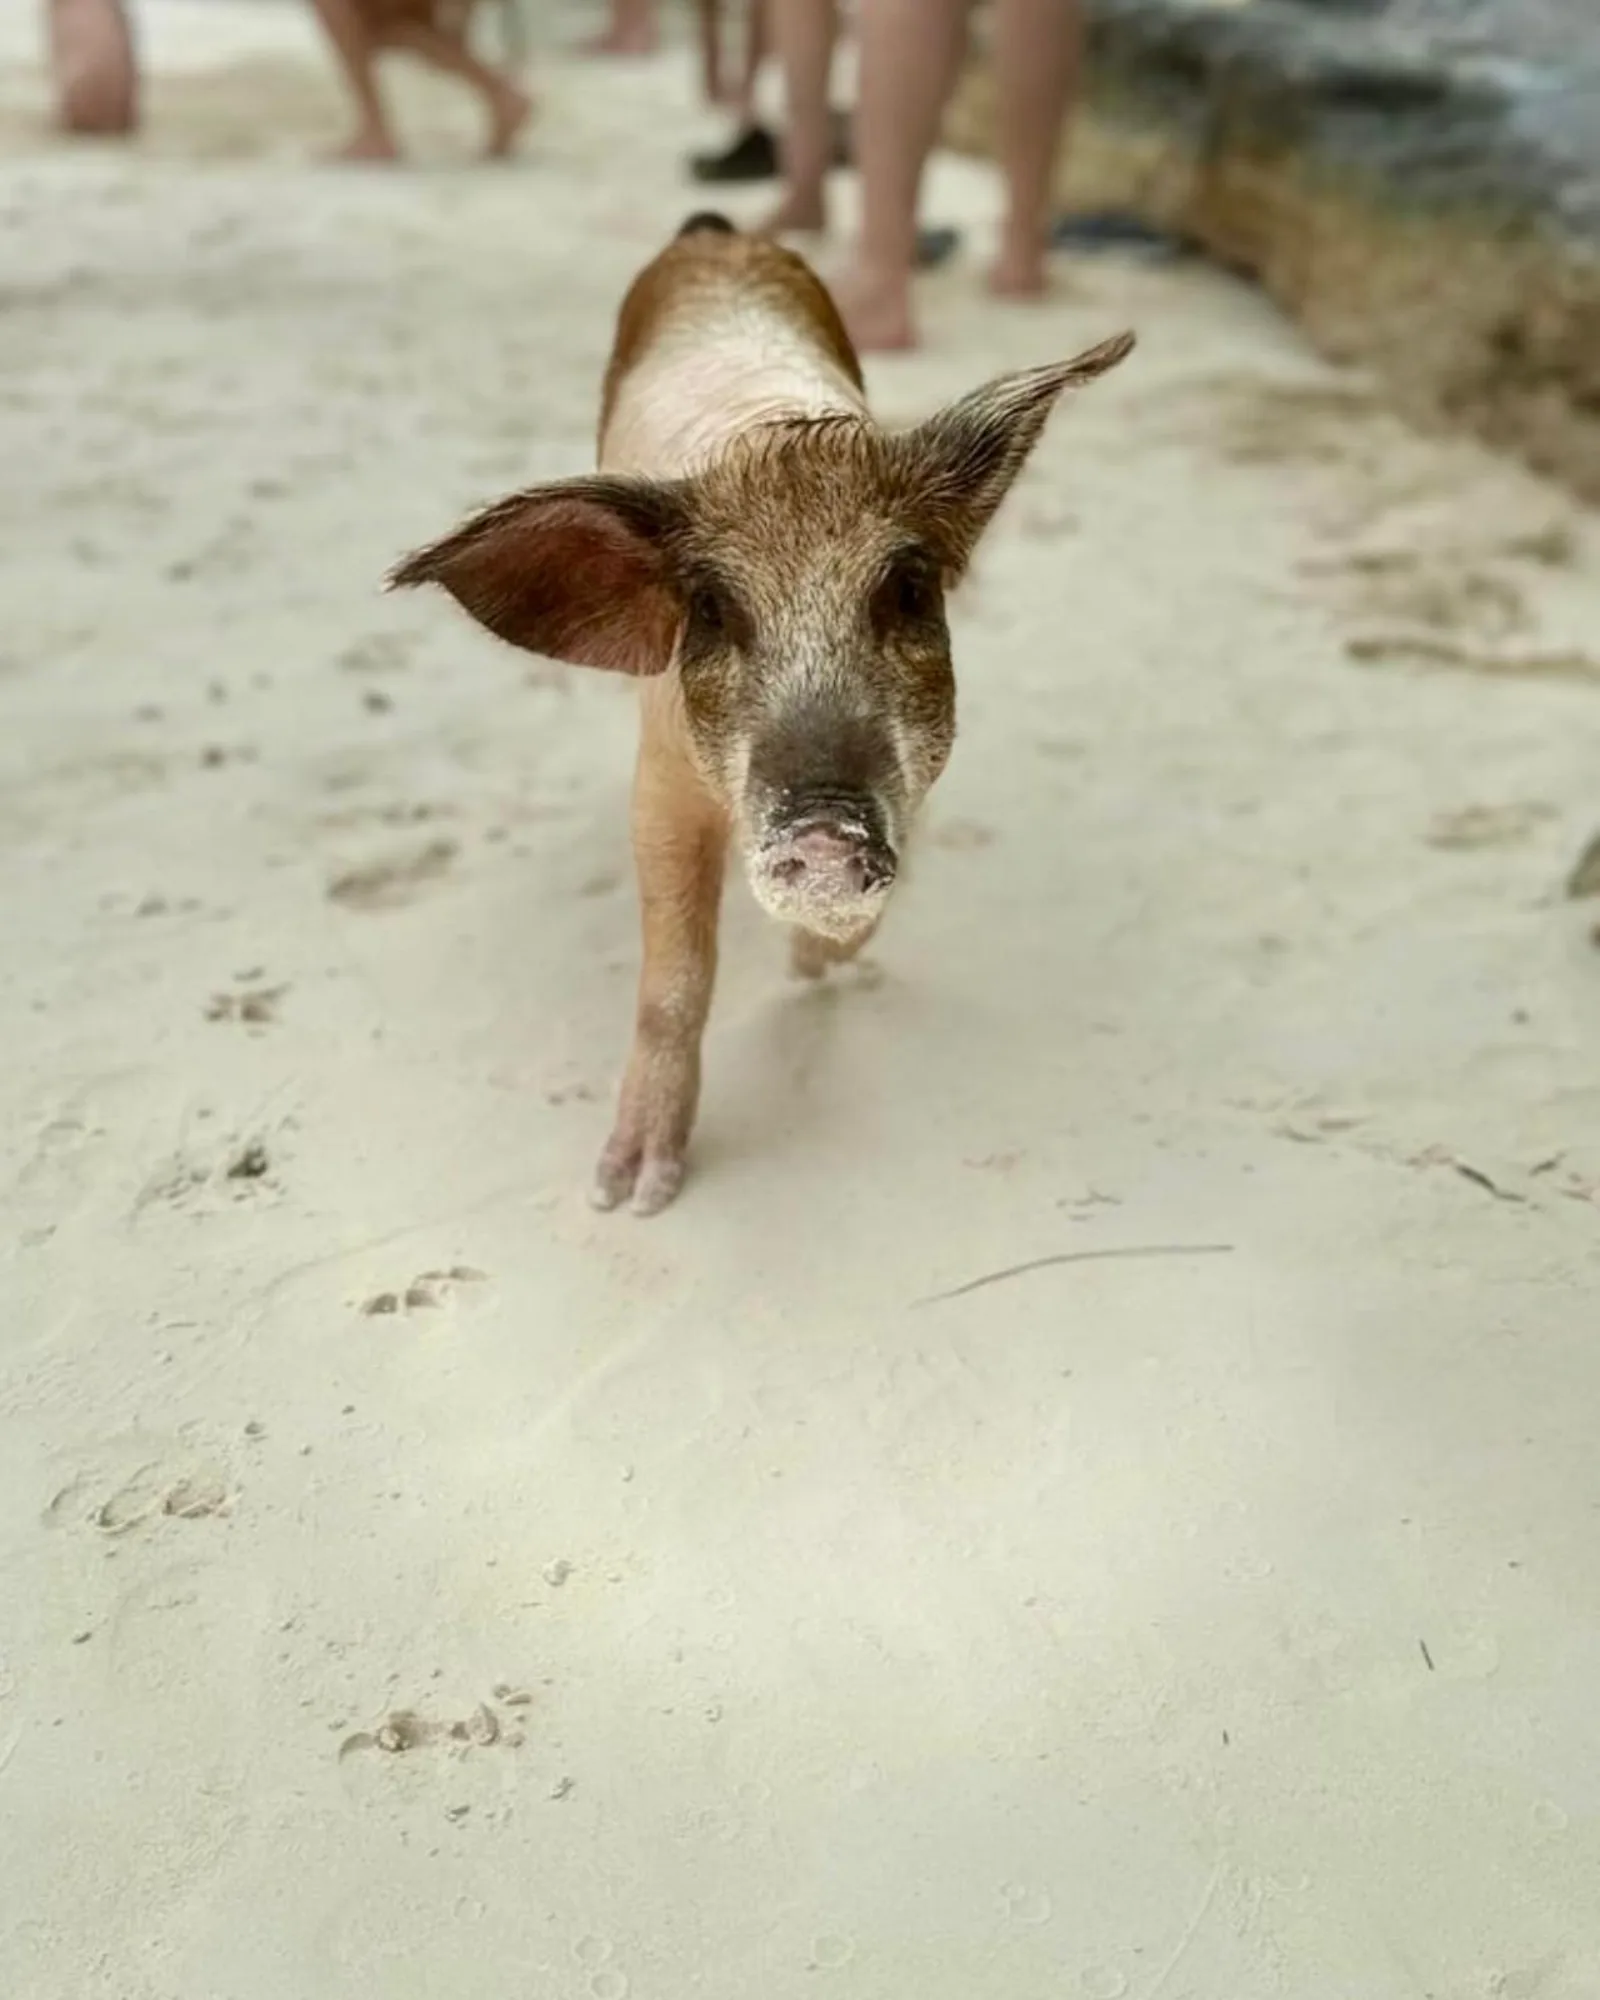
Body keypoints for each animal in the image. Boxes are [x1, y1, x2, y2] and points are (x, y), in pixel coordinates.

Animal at [389, 214, 1133, 1214]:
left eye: (909, 587)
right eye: (710, 609)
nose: (824, 828)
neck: (770, 436)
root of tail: (719, 234)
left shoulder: (920, 769)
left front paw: (817, 968)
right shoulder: (662, 780)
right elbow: (674, 979)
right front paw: (631, 1194)